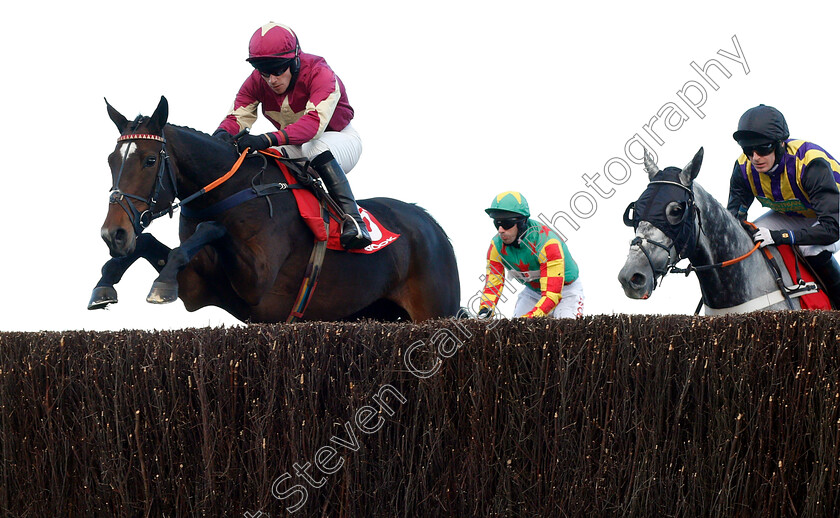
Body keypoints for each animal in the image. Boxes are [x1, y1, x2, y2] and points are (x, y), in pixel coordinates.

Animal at [88, 96, 462, 322]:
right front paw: (106, 281)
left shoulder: (258, 283)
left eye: (150, 160)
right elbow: (151, 244)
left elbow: (212, 229)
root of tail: (431, 224)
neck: (228, 190)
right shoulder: (199, 288)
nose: (113, 234)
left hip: (434, 310)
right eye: (109, 161)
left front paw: (157, 283)